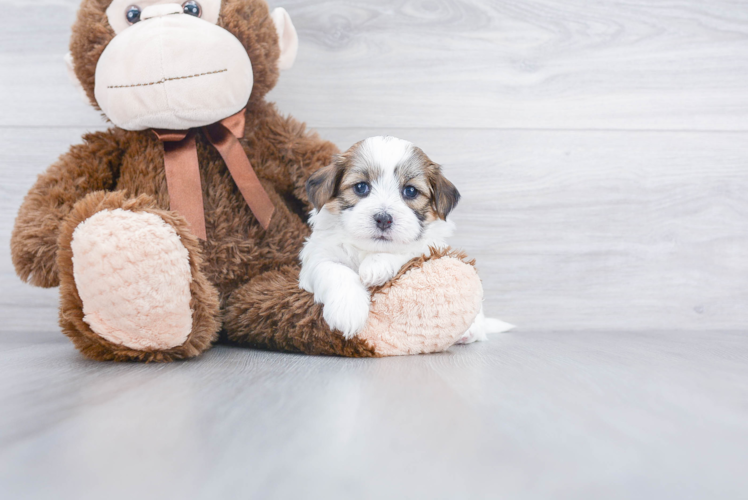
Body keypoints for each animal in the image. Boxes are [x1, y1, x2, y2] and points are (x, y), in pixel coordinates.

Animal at [298, 135, 516, 342]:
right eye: (360, 187)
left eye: (410, 191)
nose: (383, 219)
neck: (368, 249)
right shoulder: (316, 258)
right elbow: (335, 269)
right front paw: (348, 311)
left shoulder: (429, 247)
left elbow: (407, 250)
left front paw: (376, 265)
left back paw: (471, 330)